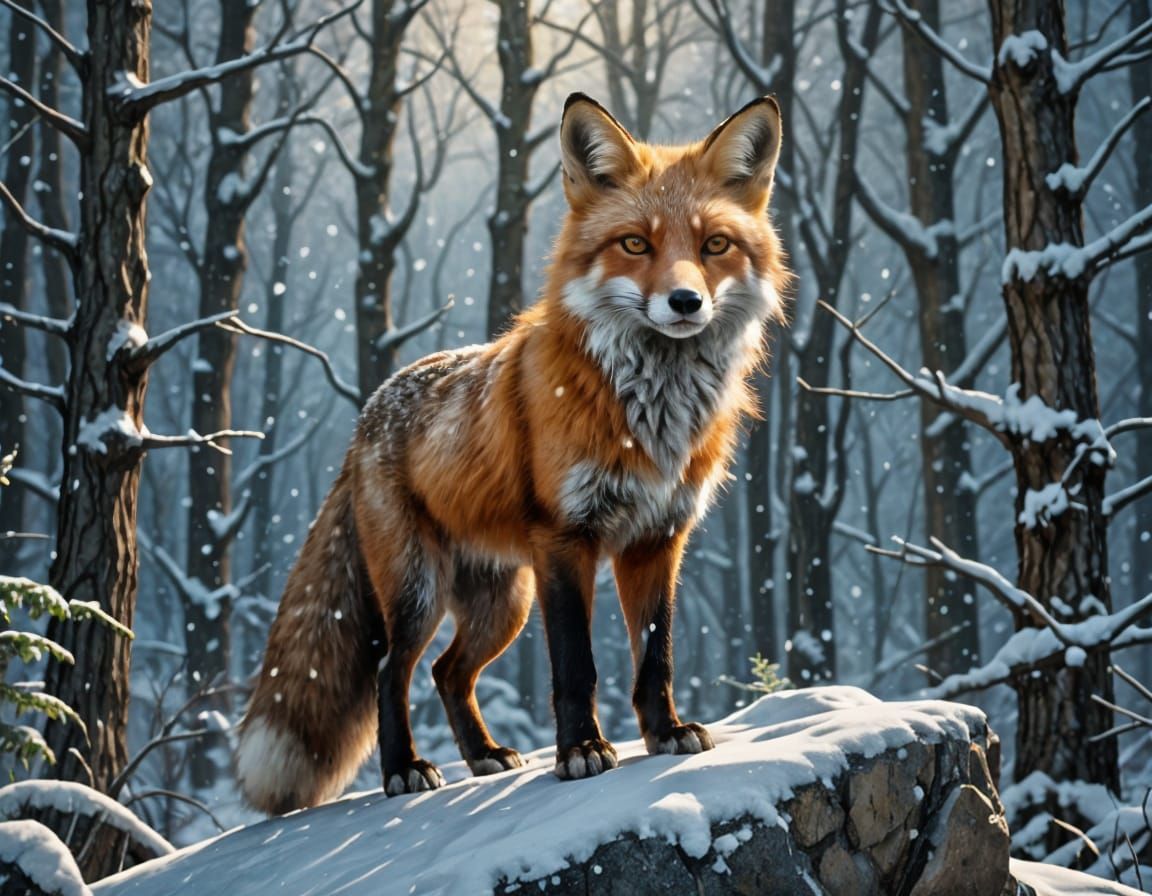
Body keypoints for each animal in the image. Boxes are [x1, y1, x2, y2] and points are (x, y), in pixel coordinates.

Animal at [235, 93, 788, 814]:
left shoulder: (658, 538)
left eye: (714, 244)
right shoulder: (566, 537)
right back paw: (403, 769)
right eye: (635, 243)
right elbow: (576, 666)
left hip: (504, 603)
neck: (652, 413)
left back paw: (483, 755)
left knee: (447, 672)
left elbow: (656, 654)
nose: (686, 301)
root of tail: (368, 412)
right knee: (391, 670)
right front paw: (582, 752)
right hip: (419, 591)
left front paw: (664, 732)